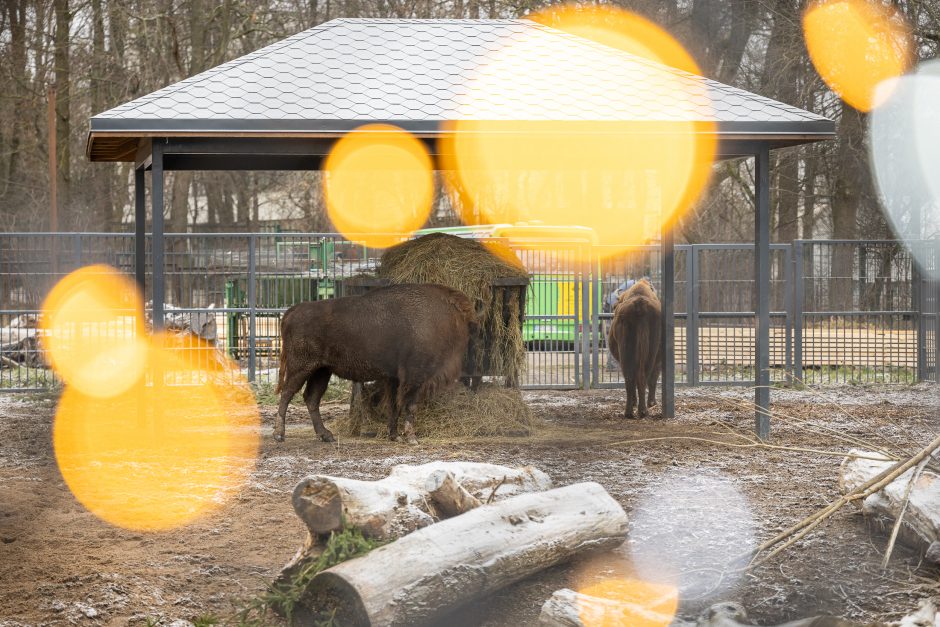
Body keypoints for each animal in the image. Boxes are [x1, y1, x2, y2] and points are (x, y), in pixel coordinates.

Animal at [272, 282, 478, 444]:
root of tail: (292, 311)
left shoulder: (395, 378)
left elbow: (395, 405)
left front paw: (395, 436)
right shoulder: (414, 376)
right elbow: (409, 405)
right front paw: (412, 438)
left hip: (321, 371)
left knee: (311, 398)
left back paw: (326, 435)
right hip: (301, 367)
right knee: (287, 393)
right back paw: (279, 435)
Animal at [608, 278, 660, 418]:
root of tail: (639, 304)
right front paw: (652, 403)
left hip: (626, 353)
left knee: (630, 378)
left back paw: (630, 411)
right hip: (651, 354)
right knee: (643, 377)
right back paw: (643, 410)